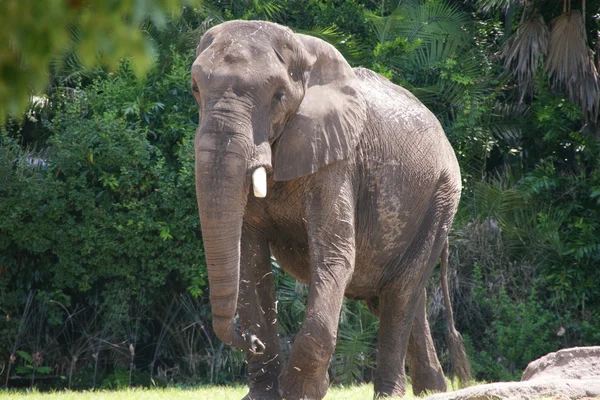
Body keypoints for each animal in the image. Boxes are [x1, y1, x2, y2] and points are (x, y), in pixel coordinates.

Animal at [191, 20, 468, 400]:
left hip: (442, 197)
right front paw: (264, 394)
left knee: (400, 294)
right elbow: (250, 260)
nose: (251, 341)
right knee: (407, 297)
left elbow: (335, 253)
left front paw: (301, 391)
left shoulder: (337, 158)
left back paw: (392, 393)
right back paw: (434, 391)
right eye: (195, 89)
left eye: (278, 96)